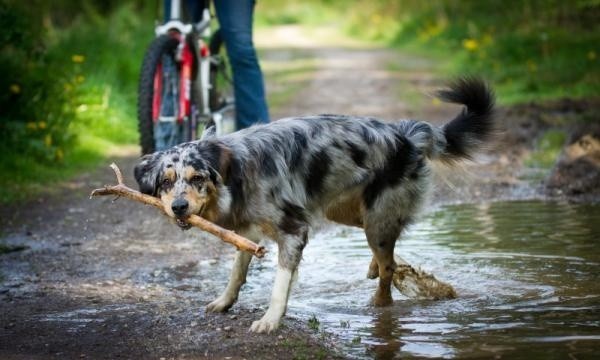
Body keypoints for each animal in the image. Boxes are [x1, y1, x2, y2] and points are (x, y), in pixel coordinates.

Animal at [134, 77, 494, 334]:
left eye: (197, 178)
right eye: (166, 182)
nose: (179, 207)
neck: (237, 170)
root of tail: (407, 134)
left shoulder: (293, 230)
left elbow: (280, 282)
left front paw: (270, 319)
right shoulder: (249, 231)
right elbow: (237, 271)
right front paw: (225, 302)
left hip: (377, 219)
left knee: (389, 267)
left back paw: (379, 301)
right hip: (351, 213)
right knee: (388, 257)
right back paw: (376, 267)